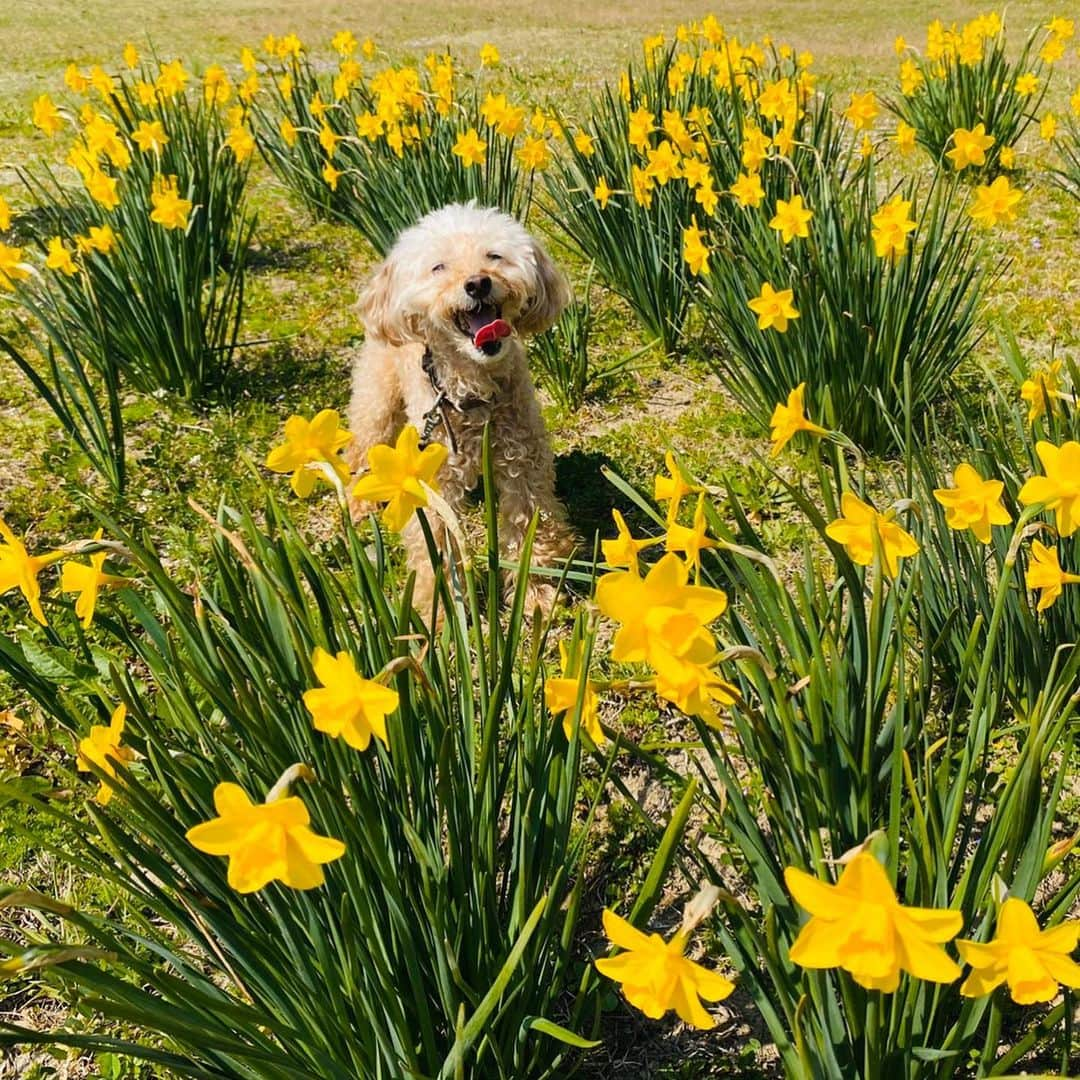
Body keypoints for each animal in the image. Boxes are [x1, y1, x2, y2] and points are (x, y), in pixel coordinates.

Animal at [349, 204, 578, 617]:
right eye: (439, 267)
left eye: (494, 256)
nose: (477, 284)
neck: (473, 393)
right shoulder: (434, 479)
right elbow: (435, 544)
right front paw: (440, 614)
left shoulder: (523, 463)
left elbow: (528, 526)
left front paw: (535, 593)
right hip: (377, 398)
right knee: (360, 447)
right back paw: (358, 504)